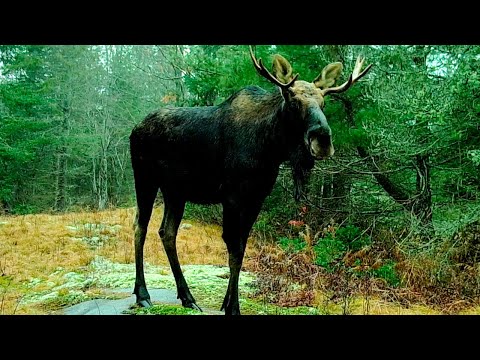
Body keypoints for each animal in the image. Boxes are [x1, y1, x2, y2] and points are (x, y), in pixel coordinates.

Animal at [128, 45, 372, 316]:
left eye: (324, 103)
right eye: (293, 102)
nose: (323, 140)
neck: (272, 149)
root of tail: (134, 129)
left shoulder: (256, 198)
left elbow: (242, 246)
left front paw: (227, 302)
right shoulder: (232, 197)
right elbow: (234, 247)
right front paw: (233, 306)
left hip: (175, 192)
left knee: (167, 232)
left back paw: (187, 297)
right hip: (145, 178)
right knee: (140, 226)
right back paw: (143, 294)